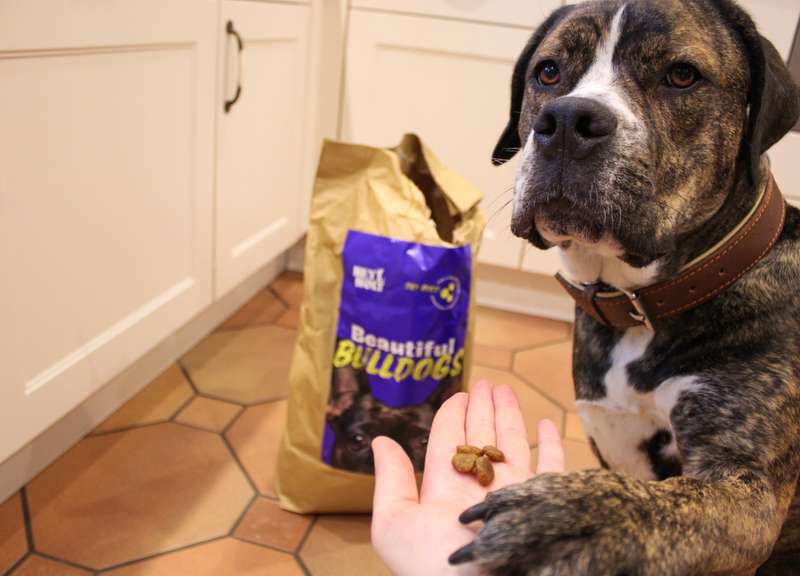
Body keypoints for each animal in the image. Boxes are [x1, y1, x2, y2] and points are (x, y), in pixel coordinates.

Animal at [446, 1, 800, 576]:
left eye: (682, 74)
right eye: (548, 72)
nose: (568, 121)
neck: (640, 308)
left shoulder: (748, 491)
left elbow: (670, 505)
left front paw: (569, 521)